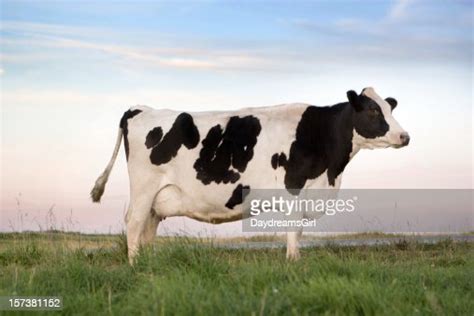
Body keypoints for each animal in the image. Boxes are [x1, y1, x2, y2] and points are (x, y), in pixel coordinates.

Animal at [90, 87, 410, 262]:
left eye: (389, 109)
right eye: (373, 111)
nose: (405, 136)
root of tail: (140, 108)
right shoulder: (294, 189)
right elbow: (294, 232)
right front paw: (293, 263)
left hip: (158, 197)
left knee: (147, 227)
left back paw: (147, 263)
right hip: (144, 187)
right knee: (133, 223)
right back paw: (134, 265)